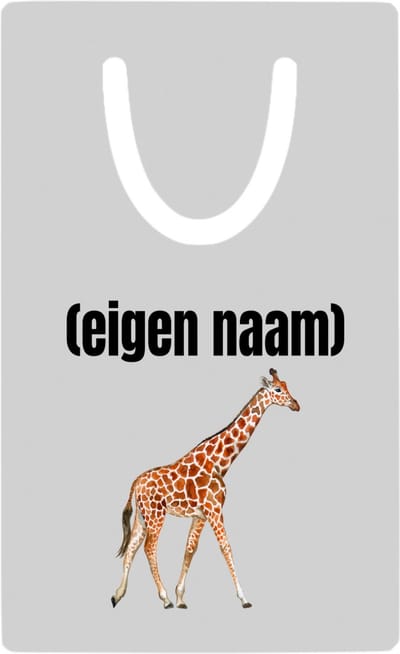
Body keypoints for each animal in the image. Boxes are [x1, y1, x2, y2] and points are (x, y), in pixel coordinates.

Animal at [111, 368, 300, 609]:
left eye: (286, 385)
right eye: (277, 389)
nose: (296, 404)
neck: (220, 462)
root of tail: (135, 483)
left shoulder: (200, 515)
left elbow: (190, 549)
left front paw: (181, 597)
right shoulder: (214, 509)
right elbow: (226, 547)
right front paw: (243, 598)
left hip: (142, 517)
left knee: (132, 548)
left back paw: (118, 595)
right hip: (156, 516)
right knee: (149, 548)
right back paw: (164, 599)